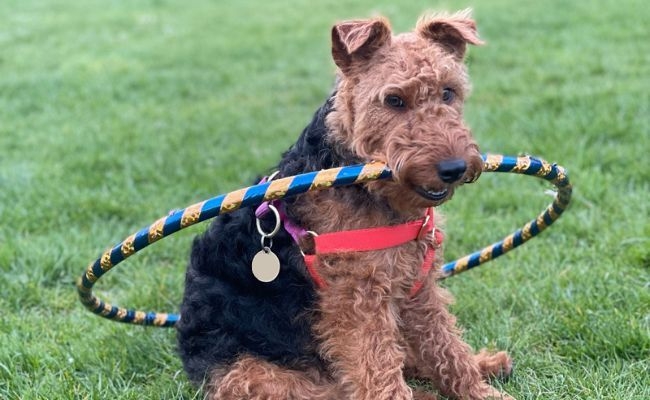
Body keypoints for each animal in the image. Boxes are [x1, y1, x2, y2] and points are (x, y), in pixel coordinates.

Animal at [176, 10, 512, 400]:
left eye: (448, 92)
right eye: (393, 100)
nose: (453, 168)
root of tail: (193, 365)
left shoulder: (418, 289)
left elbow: (446, 348)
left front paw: (480, 389)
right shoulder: (358, 300)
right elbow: (381, 370)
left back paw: (488, 362)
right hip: (266, 378)